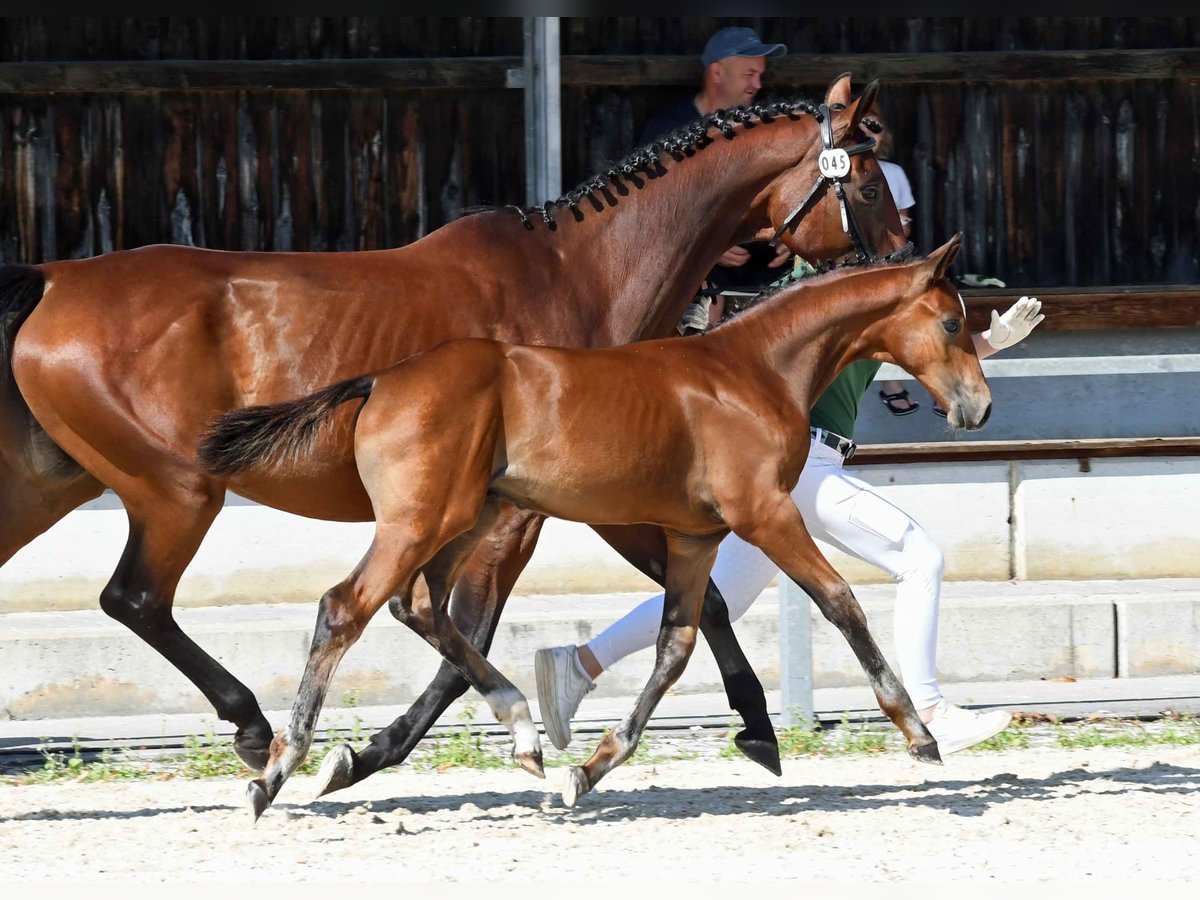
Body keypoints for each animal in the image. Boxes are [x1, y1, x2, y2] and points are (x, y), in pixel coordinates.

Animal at [204, 234, 984, 816]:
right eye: (952, 322)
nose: (977, 407)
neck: (752, 369)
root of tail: (384, 378)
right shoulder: (766, 513)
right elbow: (840, 602)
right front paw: (918, 733)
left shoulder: (695, 537)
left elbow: (676, 645)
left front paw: (593, 766)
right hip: (423, 521)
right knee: (347, 607)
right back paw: (276, 771)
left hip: (467, 518)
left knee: (421, 607)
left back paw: (522, 733)